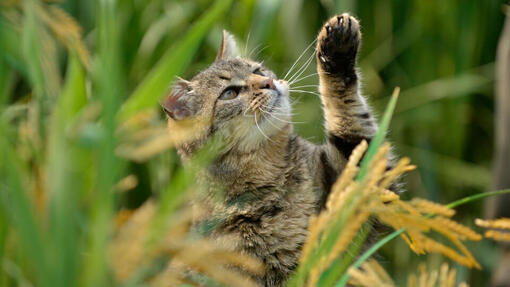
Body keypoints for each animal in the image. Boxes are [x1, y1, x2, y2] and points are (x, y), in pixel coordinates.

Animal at [162, 13, 378, 287]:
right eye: (229, 93)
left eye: (257, 70)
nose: (268, 82)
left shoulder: (357, 182)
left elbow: (349, 114)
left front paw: (337, 51)